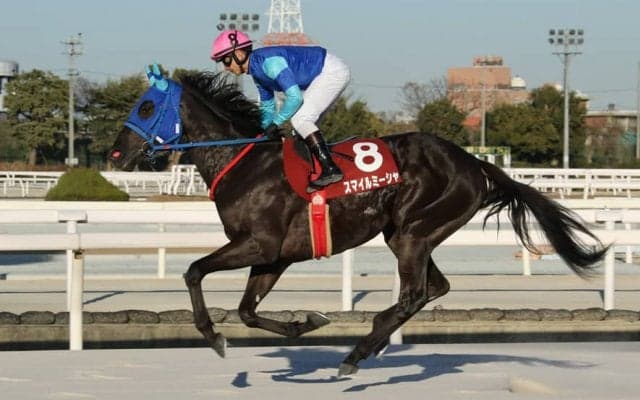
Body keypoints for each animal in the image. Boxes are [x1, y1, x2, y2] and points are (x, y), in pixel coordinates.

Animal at [109, 70, 607, 376]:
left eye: (147, 107)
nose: (115, 153)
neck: (243, 161)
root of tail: (475, 164)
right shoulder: (274, 257)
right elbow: (248, 311)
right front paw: (307, 322)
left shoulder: (259, 245)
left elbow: (193, 270)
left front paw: (214, 337)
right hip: (412, 234)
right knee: (434, 288)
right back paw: (370, 341)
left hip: (412, 231)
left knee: (413, 294)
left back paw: (360, 350)